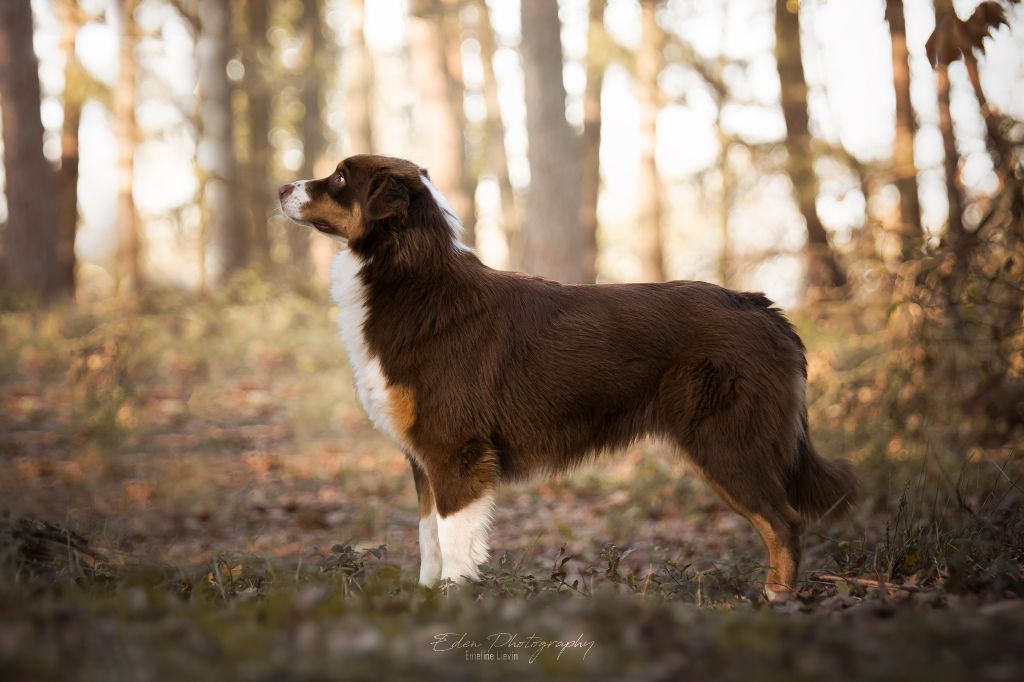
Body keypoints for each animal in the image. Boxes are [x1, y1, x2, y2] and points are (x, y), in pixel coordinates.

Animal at [280, 155, 856, 602]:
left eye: (339, 177)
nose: (282, 187)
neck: (412, 278)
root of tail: (763, 307)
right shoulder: (424, 459)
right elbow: (429, 540)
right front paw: (422, 601)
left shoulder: (455, 452)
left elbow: (455, 545)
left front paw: (451, 606)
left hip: (727, 443)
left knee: (784, 522)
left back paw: (777, 598)